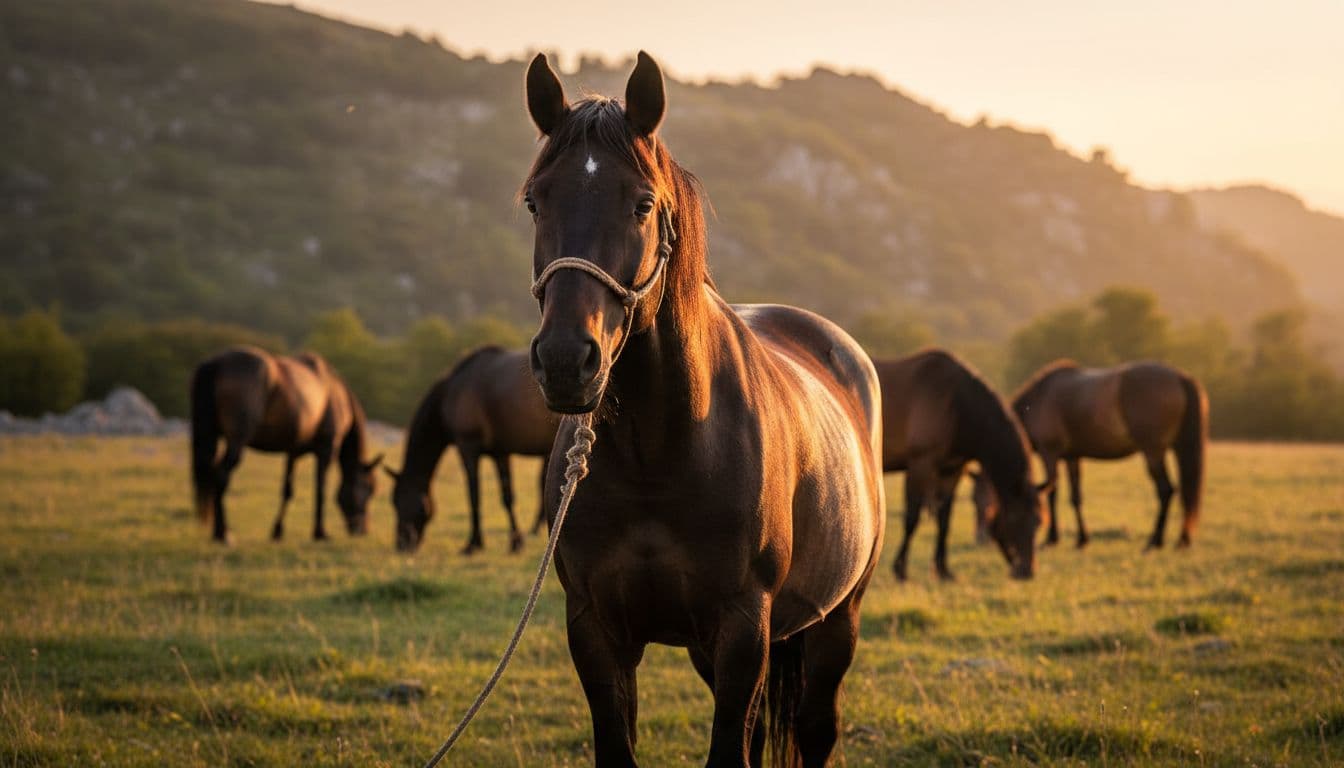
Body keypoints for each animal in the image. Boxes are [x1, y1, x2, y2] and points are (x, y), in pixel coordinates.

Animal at [189, 346, 382, 544]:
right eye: (369, 489)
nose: (362, 530)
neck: (336, 394)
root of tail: (217, 363)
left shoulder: (293, 452)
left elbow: (287, 490)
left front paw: (277, 530)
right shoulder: (327, 448)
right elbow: (320, 489)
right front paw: (320, 532)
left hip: (212, 436)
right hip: (236, 441)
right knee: (221, 475)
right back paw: (223, 533)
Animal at [385, 346, 559, 554]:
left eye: (398, 502)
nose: (402, 544)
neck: (453, 391)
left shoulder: (467, 447)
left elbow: (474, 494)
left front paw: (473, 543)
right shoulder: (500, 452)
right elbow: (507, 497)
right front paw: (515, 541)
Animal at [523, 52, 885, 767]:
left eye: (642, 204)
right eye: (534, 201)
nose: (565, 360)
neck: (659, 456)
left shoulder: (743, 628)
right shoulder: (595, 629)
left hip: (838, 620)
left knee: (816, 728)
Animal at [875, 349, 1046, 582]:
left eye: (1039, 522)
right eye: (1014, 519)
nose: (1027, 571)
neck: (955, 404)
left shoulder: (951, 470)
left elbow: (944, 520)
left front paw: (943, 570)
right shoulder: (920, 464)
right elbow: (912, 519)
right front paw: (900, 570)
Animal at [980, 359, 1207, 550]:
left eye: (978, 499)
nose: (983, 537)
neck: (1039, 401)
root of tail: (1180, 377)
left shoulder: (1049, 453)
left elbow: (1052, 493)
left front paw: (1052, 538)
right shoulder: (1072, 457)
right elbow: (1075, 497)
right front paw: (1082, 539)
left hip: (1153, 451)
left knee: (1166, 490)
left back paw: (1155, 540)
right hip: (1177, 447)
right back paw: (1182, 539)